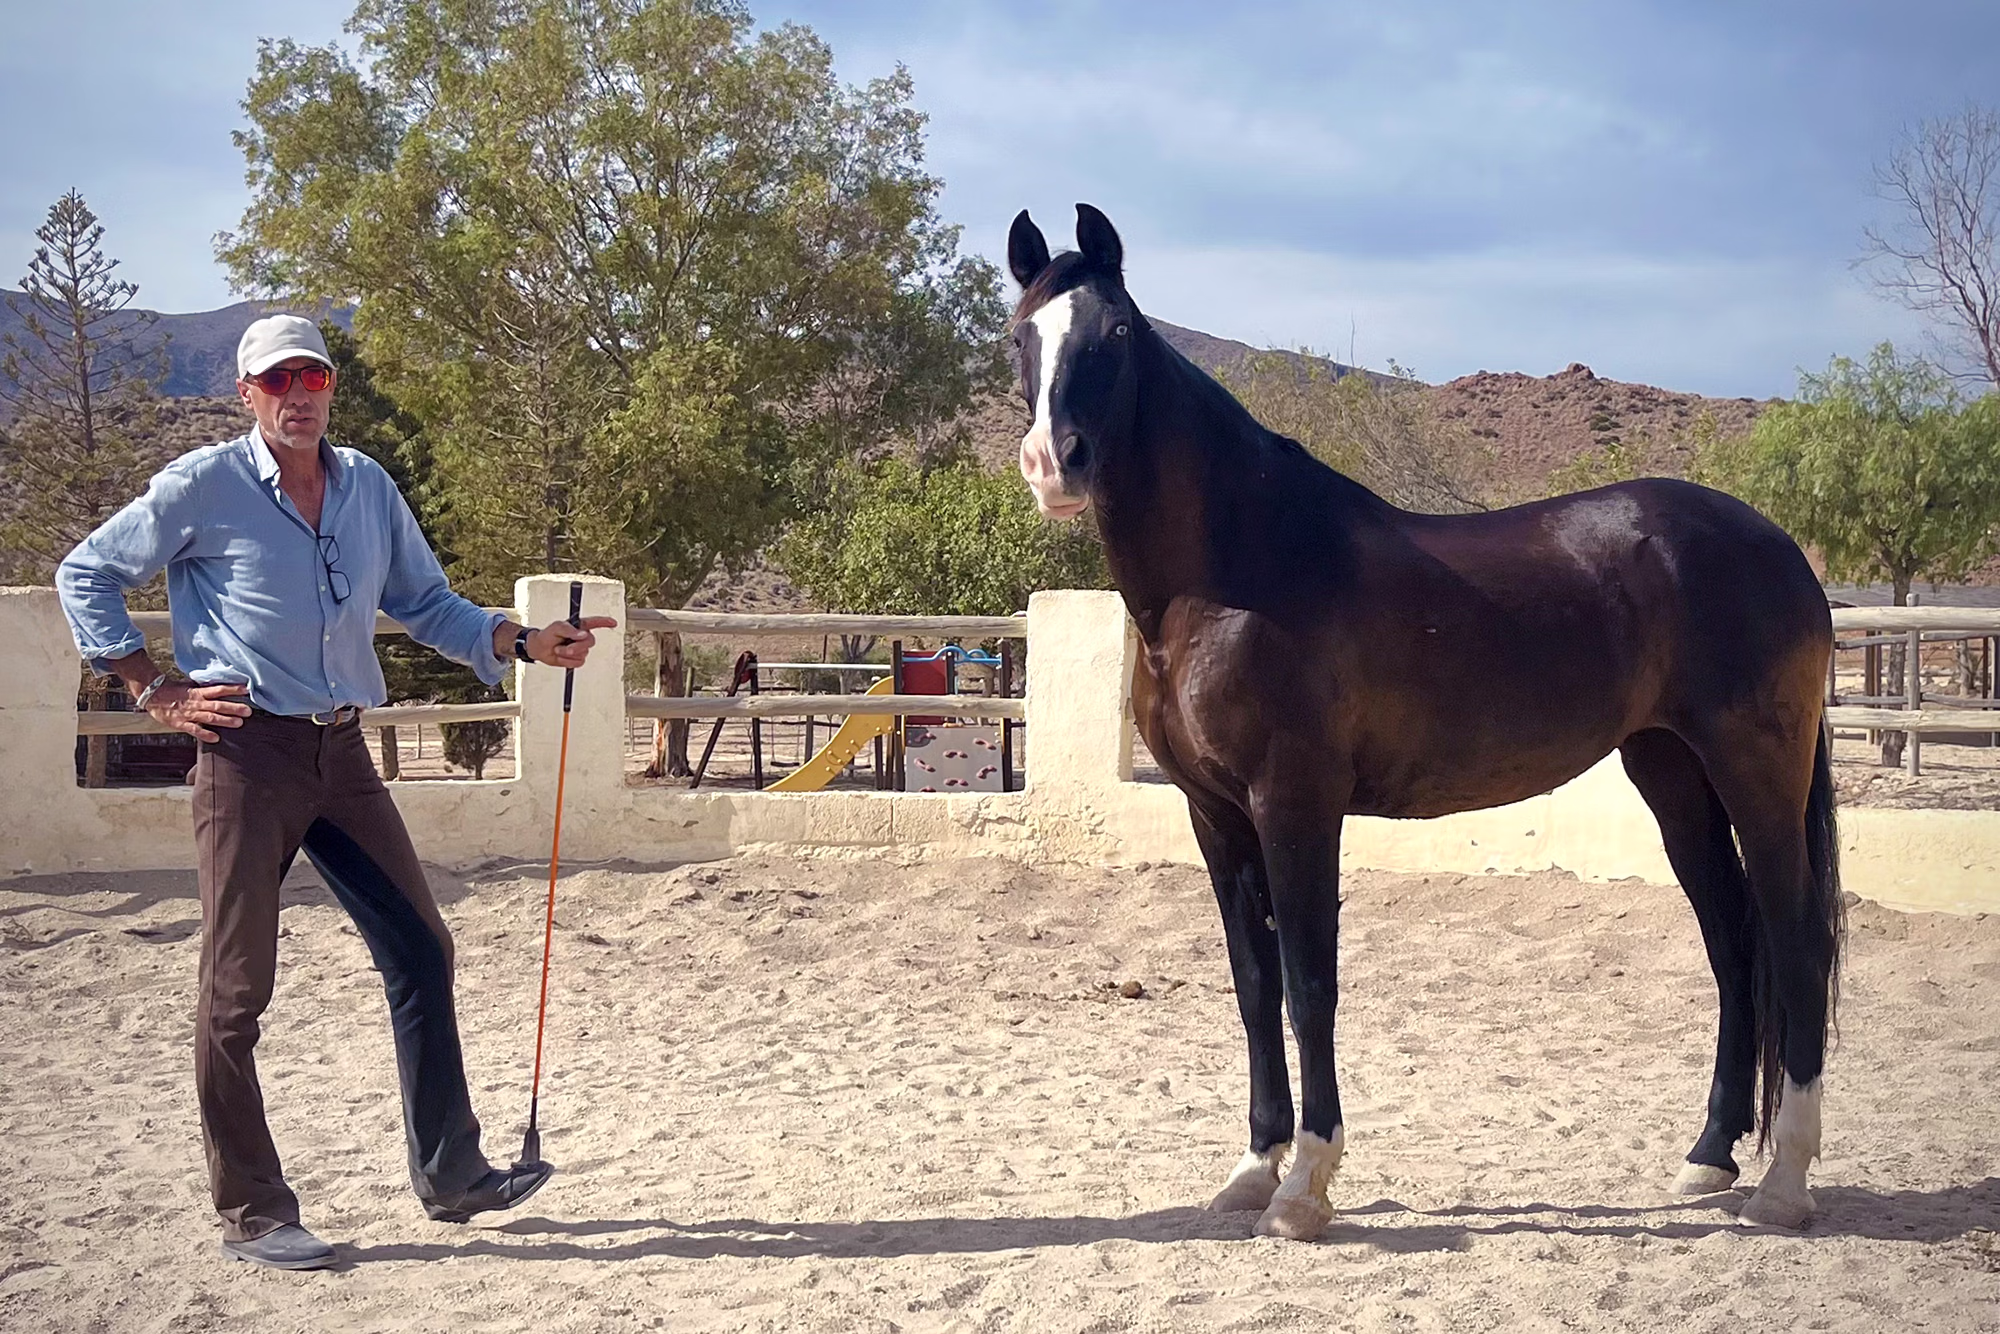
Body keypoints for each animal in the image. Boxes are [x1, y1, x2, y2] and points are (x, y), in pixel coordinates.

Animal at [1005, 204, 1843, 1241]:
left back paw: (1785, 1184)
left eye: (1115, 332)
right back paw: (1707, 1158)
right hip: (1672, 776)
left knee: (1795, 941)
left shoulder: (1295, 805)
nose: (1055, 463)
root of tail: (1781, 550)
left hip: (1755, 773)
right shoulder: (1215, 816)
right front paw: (1251, 1170)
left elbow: (1310, 984)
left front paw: (1303, 1189)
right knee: (1733, 945)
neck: (1235, 571)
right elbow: (1254, 989)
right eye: (1021, 336)